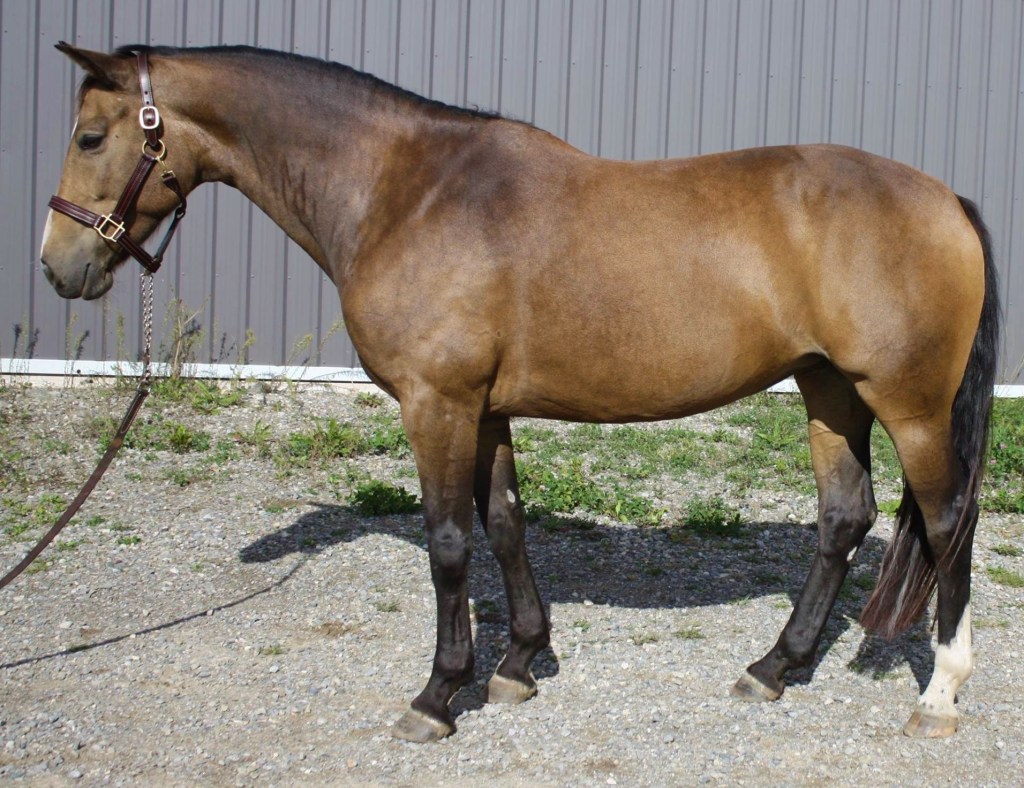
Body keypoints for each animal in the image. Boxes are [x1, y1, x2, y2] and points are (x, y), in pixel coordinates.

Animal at [40, 43, 999, 743]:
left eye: (89, 137)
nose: (59, 267)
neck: (407, 192)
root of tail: (945, 196)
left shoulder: (436, 403)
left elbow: (448, 545)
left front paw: (437, 695)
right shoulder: (486, 407)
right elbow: (503, 522)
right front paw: (518, 665)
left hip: (908, 404)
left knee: (948, 519)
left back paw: (940, 693)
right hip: (828, 386)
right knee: (844, 516)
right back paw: (773, 668)